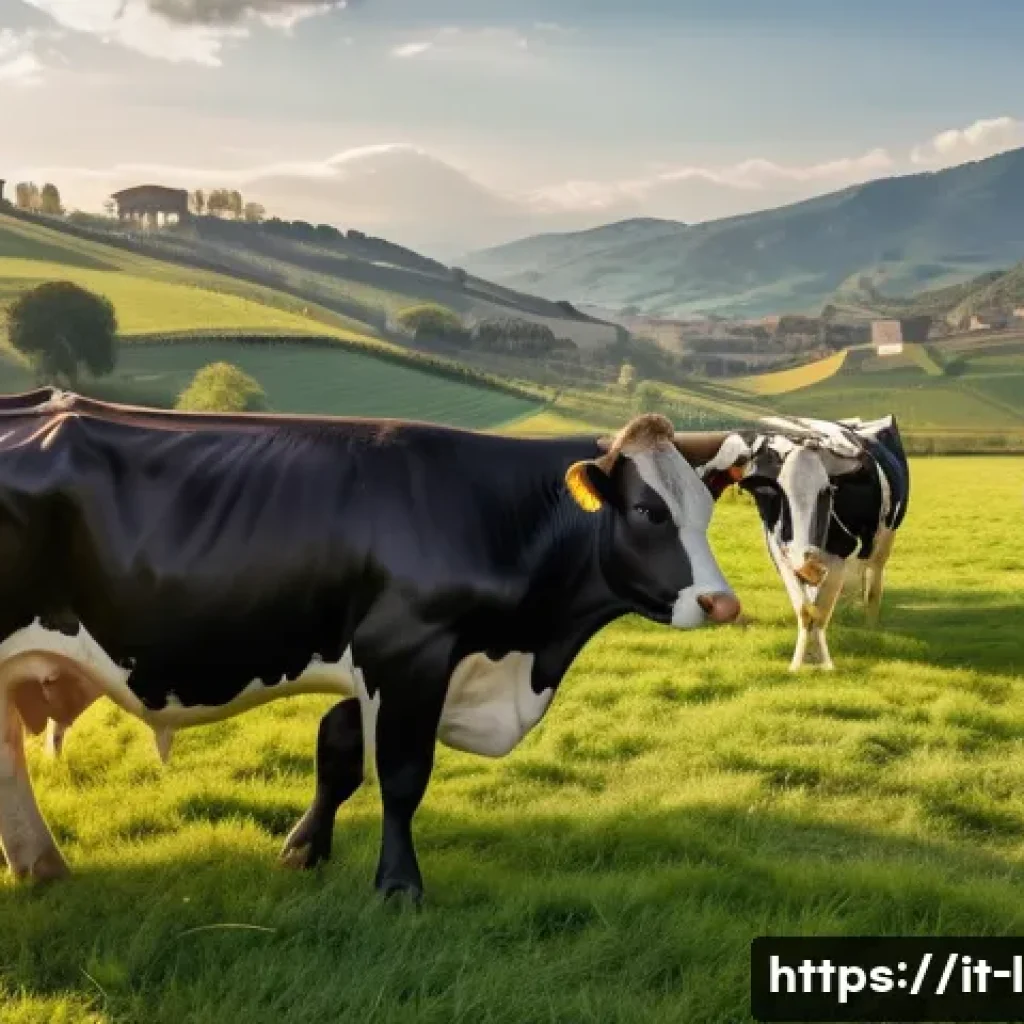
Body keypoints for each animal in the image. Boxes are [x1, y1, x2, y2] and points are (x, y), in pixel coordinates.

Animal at [0, 390, 742, 901]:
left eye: (706, 511)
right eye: (648, 511)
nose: (721, 602)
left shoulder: (387, 661)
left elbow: (338, 751)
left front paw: (304, 850)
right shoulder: (408, 648)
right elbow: (402, 774)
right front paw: (398, 885)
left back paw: (42, 865)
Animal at [691, 414, 910, 671]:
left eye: (827, 492)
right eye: (779, 493)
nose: (809, 566)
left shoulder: (839, 559)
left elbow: (821, 614)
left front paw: (825, 664)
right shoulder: (782, 555)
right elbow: (807, 612)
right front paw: (797, 665)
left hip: (883, 546)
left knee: (873, 589)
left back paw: (870, 627)